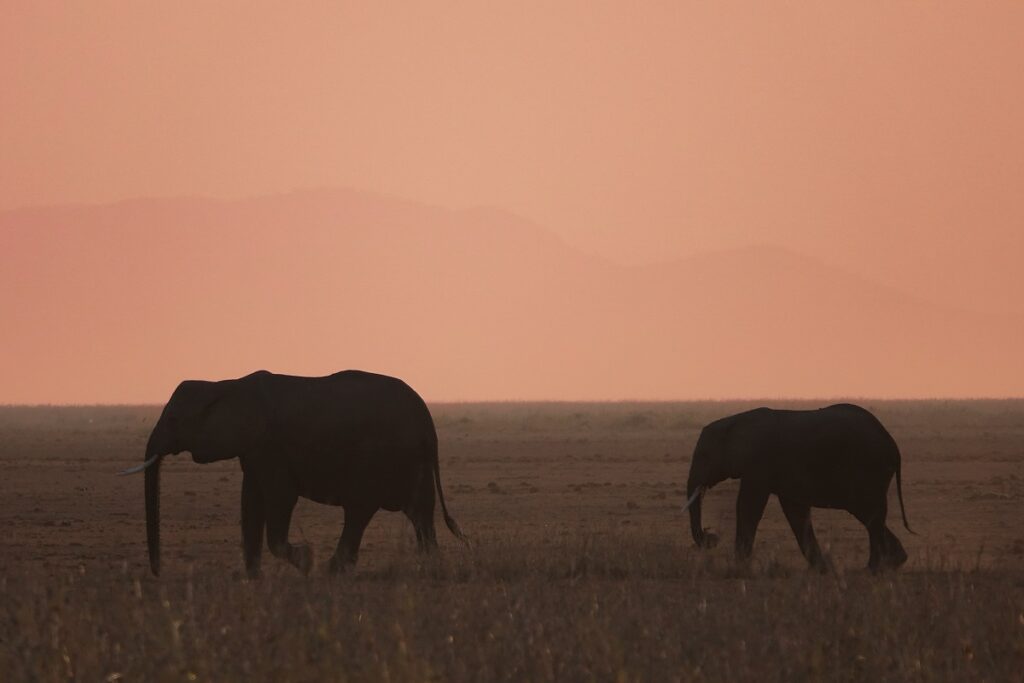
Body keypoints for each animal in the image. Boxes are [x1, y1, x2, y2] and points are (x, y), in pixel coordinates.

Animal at [120, 370, 468, 581]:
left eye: (174, 420)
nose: (158, 571)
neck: (225, 384)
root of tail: (427, 422)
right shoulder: (254, 451)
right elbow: (251, 502)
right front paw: (254, 578)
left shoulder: (270, 446)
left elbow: (279, 498)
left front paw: (306, 560)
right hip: (411, 460)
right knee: (419, 512)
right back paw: (429, 567)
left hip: (381, 457)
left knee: (361, 510)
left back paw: (330, 570)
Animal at [688, 403, 913, 573]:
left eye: (704, 456)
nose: (711, 537)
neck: (734, 422)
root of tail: (892, 445)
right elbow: (796, 512)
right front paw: (822, 569)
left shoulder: (758, 462)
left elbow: (748, 506)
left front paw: (738, 568)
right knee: (872, 515)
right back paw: (893, 562)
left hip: (868, 469)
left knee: (869, 513)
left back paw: (872, 569)